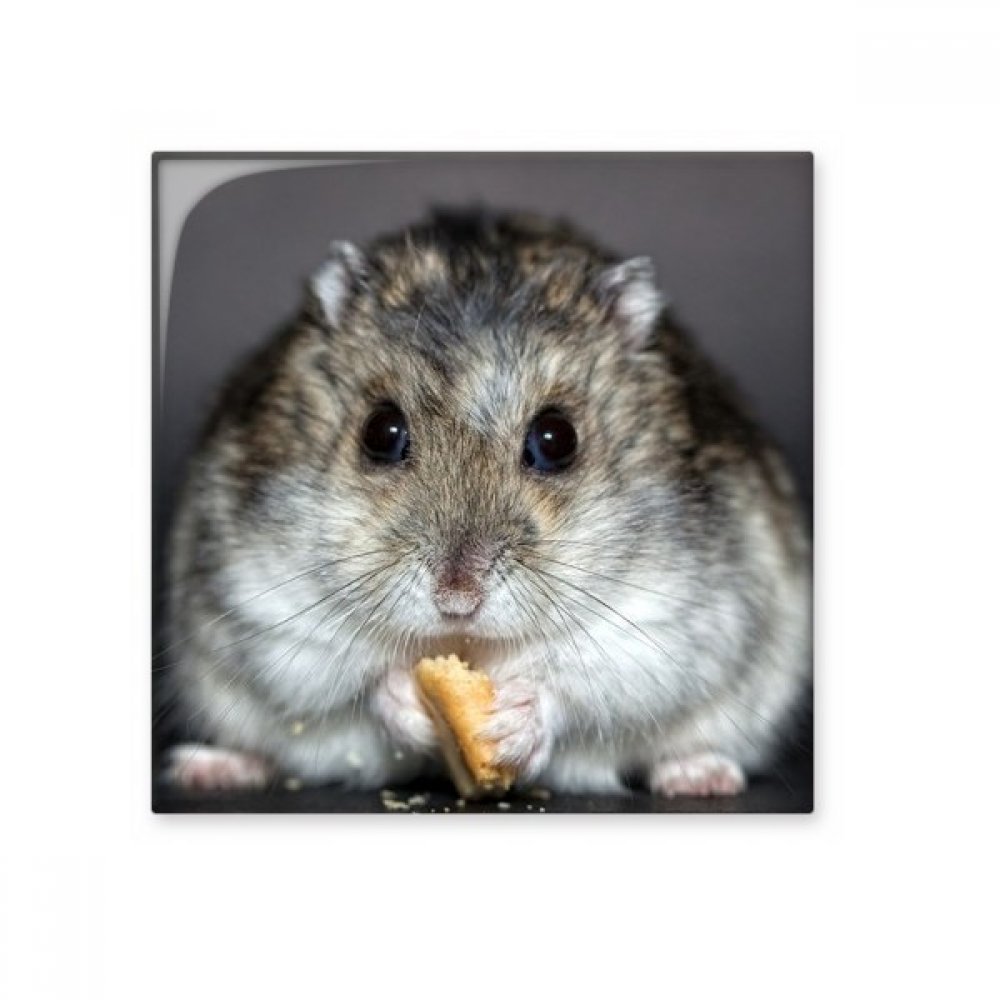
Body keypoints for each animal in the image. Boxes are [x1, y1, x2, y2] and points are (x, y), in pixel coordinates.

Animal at [159, 208, 811, 798]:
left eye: (556, 439)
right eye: (379, 433)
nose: (457, 600)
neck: (470, 646)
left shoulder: (668, 622)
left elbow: (579, 685)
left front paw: (511, 723)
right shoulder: (267, 606)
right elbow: (353, 680)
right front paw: (408, 699)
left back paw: (700, 777)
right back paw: (210, 767)